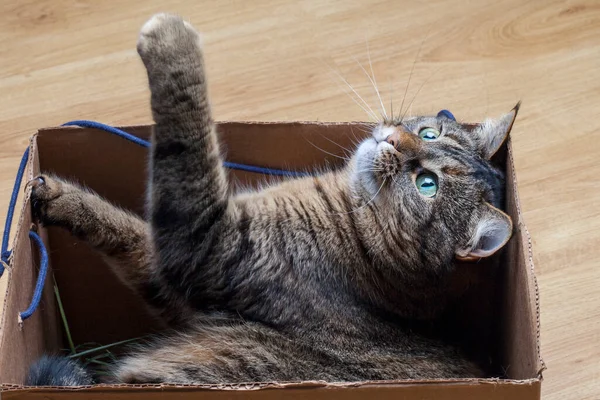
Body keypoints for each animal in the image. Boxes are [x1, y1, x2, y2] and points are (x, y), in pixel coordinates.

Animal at [25, 13, 516, 388]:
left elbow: (188, 146)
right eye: (429, 132)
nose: (394, 138)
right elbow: (123, 228)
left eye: (427, 184)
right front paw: (55, 194)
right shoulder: (170, 278)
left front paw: (173, 42)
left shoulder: (208, 243)